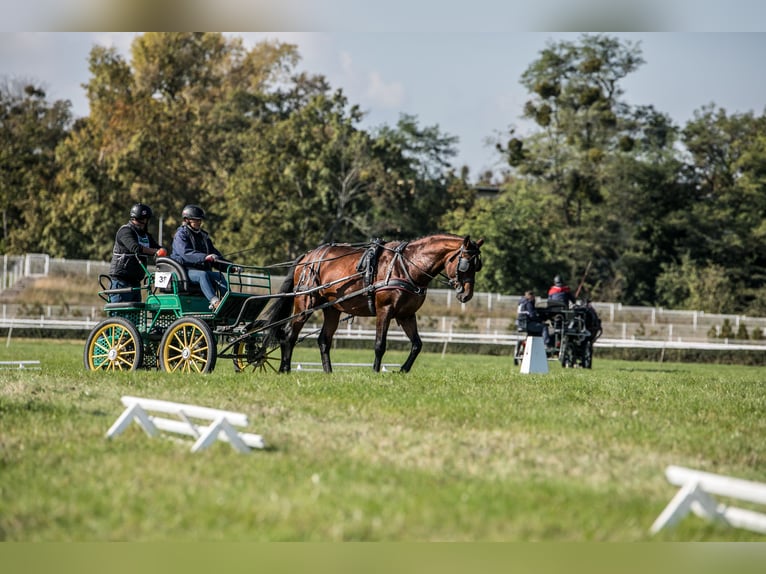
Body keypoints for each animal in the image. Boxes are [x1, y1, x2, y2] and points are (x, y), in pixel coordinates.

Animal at [265, 234, 484, 373]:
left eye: (478, 266)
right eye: (465, 264)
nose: (466, 295)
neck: (405, 266)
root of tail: (308, 257)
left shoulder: (406, 315)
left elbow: (417, 344)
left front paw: (403, 370)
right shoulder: (384, 310)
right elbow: (380, 344)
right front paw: (376, 371)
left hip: (332, 309)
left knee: (323, 340)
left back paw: (328, 373)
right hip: (305, 303)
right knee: (289, 335)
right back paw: (285, 369)